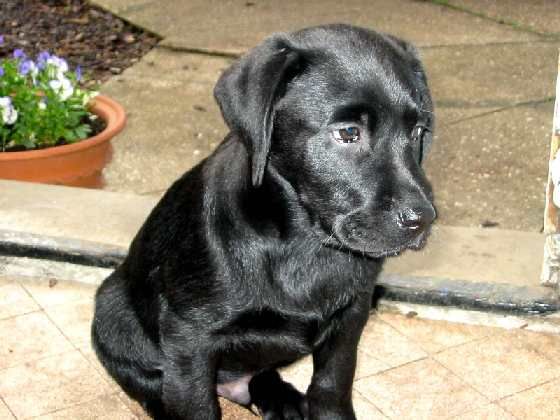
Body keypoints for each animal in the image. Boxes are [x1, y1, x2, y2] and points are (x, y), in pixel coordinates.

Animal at [92, 23, 436, 420]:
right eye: (349, 133)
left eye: (418, 132)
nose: (423, 220)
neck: (306, 244)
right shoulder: (188, 338)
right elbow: (195, 406)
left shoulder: (351, 317)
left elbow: (332, 387)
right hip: (112, 313)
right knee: (150, 384)